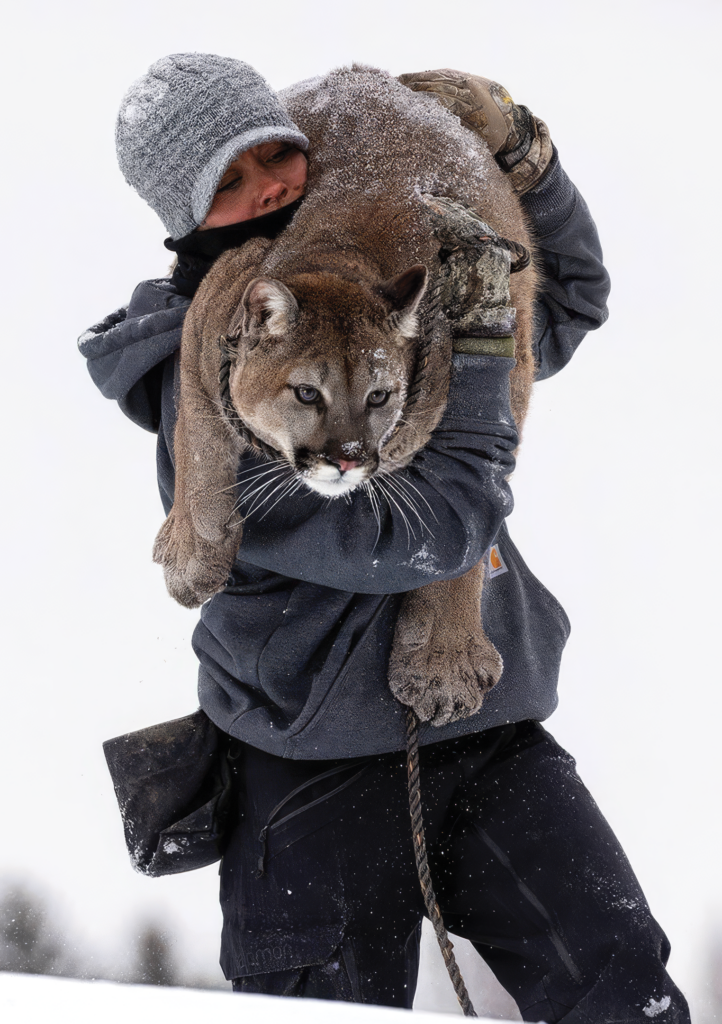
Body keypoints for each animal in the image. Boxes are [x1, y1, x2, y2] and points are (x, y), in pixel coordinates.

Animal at [153, 65, 538, 726]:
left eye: (380, 396)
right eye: (308, 393)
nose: (348, 457)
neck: (344, 259)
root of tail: (362, 73)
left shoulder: (511, 365)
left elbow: (472, 532)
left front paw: (443, 662)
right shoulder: (205, 318)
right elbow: (196, 439)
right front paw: (189, 557)